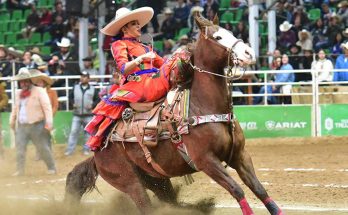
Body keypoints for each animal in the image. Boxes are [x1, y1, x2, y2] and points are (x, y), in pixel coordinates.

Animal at [65, 14, 282, 214]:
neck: (204, 106)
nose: (249, 52)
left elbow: (259, 189)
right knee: (145, 204)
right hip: (129, 182)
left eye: (230, 32)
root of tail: (98, 149)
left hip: (156, 179)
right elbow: (237, 190)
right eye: (218, 37)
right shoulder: (207, 162)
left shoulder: (240, 155)